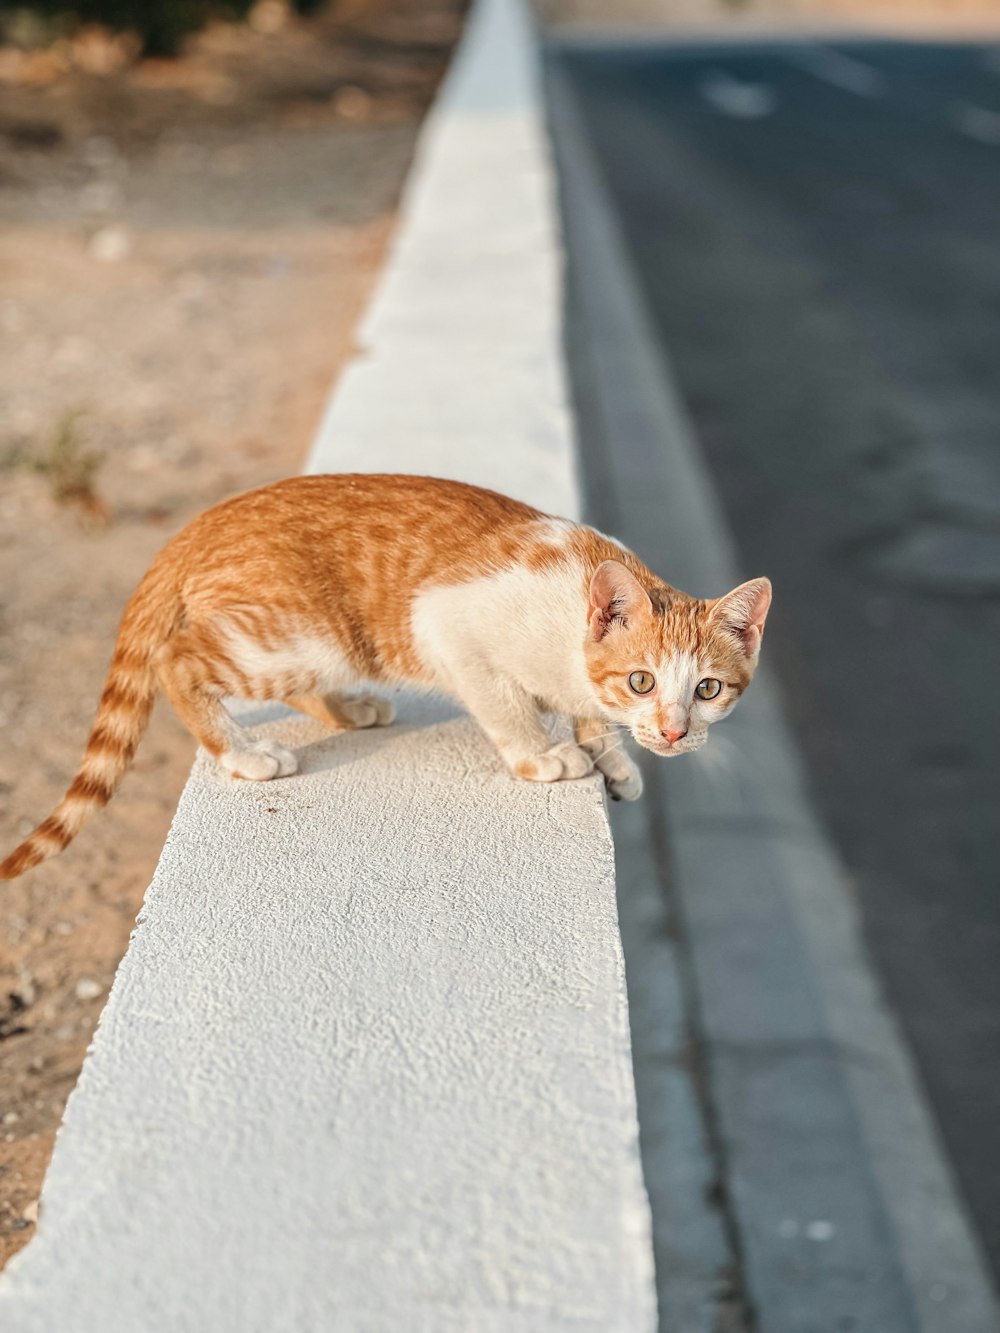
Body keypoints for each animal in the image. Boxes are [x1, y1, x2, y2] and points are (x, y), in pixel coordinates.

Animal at [0, 474, 773, 879]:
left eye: (707, 690)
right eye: (643, 681)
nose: (673, 732)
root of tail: (200, 523)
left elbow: (590, 716)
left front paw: (612, 758)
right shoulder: (446, 621)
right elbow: (504, 703)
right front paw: (543, 753)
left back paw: (352, 710)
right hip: (301, 636)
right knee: (177, 659)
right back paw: (244, 754)